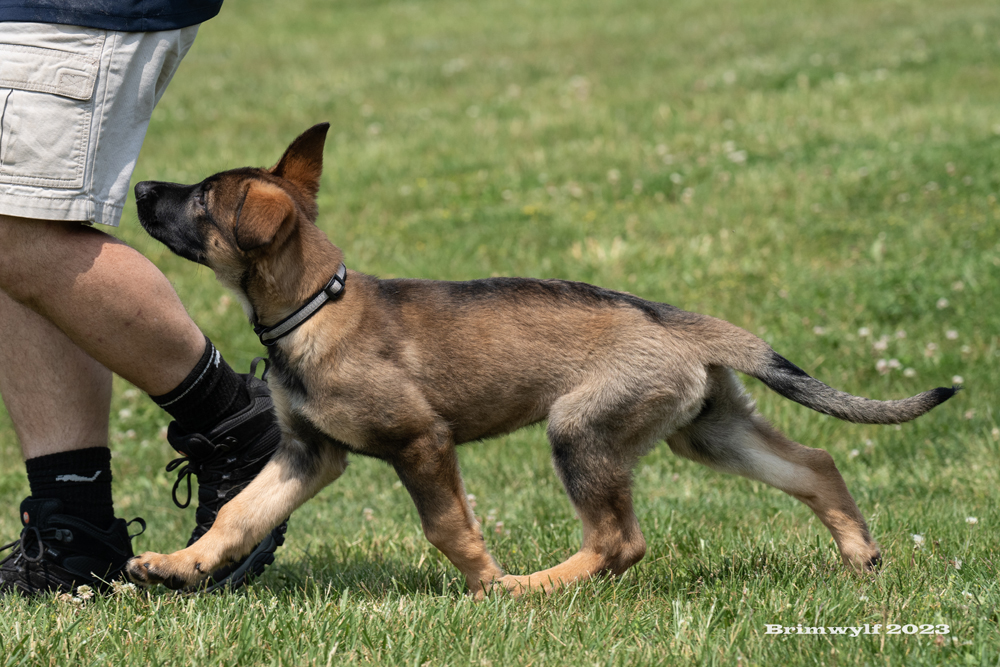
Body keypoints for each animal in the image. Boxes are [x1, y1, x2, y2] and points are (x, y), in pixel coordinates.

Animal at [129, 123, 956, 595]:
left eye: (201, 199)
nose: (138, 186)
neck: (314, 306)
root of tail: (683, 324)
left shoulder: (419, 442)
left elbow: (448, 527)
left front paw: (484, 584)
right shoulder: (309, 453)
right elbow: (240, 513)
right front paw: (179, 563)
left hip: (581, 430)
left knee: (620, 541)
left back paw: (532, 588)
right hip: (708, 429)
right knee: (814, 462)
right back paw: (859, 555)